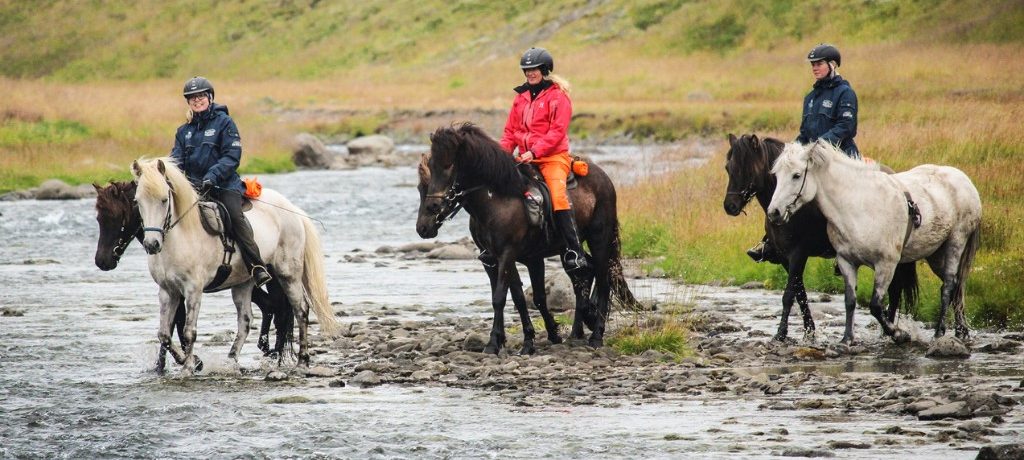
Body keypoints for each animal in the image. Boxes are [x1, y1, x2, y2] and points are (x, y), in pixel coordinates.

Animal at [94, 179, 294, 368]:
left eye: (117, 217)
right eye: (99, 219)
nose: (102, 261)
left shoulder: (186, 289)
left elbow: (178, 324)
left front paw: (190, 361)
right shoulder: (174, 290)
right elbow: (172, 325)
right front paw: (165, 364)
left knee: (280, 310)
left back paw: (274, 355)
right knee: (270, 306)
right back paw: (266, 349)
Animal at [130, 157, 339, 372]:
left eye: (164, 200)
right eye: (137, 201)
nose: (152, 244)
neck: (182, 236)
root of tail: (293, 210)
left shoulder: (193, 290)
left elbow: (189, 332)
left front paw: (188, 367)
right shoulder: (168, 291)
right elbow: (164, 334)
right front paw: (188, 361)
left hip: (288, 274)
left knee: (301, 310)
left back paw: (302, 360)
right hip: (243, 283)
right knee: (246, 321)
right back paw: (231, 362)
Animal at [413, 121, 634, 352]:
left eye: (448, 165)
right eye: (421, 185)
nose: (424, 226)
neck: (497, 200)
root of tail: (605, 179)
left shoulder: (509, 254)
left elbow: (502, 297)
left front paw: (494, 343)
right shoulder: (494, 259)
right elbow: (521, 297)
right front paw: (533, 338)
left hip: (599, 238)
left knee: (603, 279)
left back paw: (597, 335)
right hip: (568, 251)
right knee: (583, 275)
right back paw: (576, 332)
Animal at [720, 133, 921, 340]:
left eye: (747, 168)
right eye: (728, 168)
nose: (730, 206)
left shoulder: (798, 254)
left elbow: (788, 295)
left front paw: (781, 333)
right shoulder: (785, 257)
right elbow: (800, 293)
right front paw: (809, 330)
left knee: (895, 289)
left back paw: (888, 332)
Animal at [765, 139, 978, 344]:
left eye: (796, 175)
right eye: (776, 175)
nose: (774, 212)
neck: (859, 206)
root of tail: (964, 180)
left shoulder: (886, 264)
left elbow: (875, 305)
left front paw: (899, 334)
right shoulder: (846, 261)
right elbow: (850, 301)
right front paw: (847, 338)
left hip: (955, 243)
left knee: (948, 286)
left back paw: (939, 333)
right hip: (936, 254)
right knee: (956, 286)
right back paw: (961, 331)